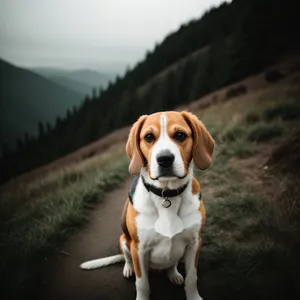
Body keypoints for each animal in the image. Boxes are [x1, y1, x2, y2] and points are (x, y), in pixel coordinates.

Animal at [80, 110, 213, 300]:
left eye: (180, 135)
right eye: (149, 137)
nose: (164, 159)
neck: (166, 194)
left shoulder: (195, 243)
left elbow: (192, 277)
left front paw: (193, 296)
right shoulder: (139, 249)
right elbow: (142, 283)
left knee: (170, 265)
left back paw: (174, 274)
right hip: (123, 240)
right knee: (127, 258)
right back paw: (128, 269)